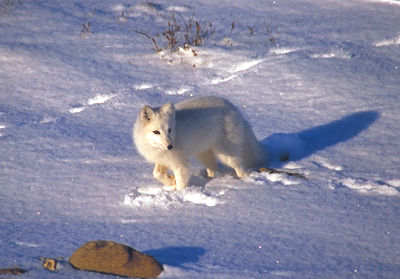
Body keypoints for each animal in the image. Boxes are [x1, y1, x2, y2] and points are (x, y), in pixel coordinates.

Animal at [133, 96, 268, 190]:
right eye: (156, 132)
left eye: (169, 130)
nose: (170, 146)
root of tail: (234, 108)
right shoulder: (164, 159)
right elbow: (156, 173)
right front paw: (170, 181)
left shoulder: (180, 162)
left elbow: (181, 181)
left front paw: (180, 193)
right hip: (204, 154)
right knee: (213, 169)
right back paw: (210, 180)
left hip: (225, 154)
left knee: (240, 169)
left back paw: (242, 183)